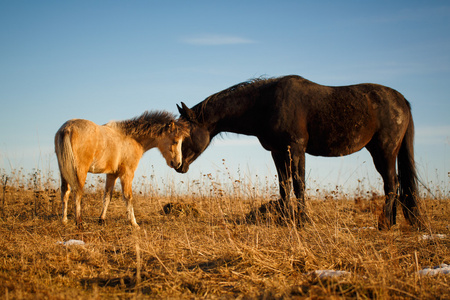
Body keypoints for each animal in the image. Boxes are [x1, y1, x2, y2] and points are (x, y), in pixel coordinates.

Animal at [175, 75, 422, 230]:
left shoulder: (296, 149)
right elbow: (284, 186)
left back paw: (384, 224)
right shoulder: (277, 152)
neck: (266, 103)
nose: (177, 165)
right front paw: (285, 220)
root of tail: (402, 100)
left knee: (392, 184)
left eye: (184, 134)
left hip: (385, 150)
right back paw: (391, 222)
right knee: (393, 184)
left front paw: (302, 221)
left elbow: (299, 184)